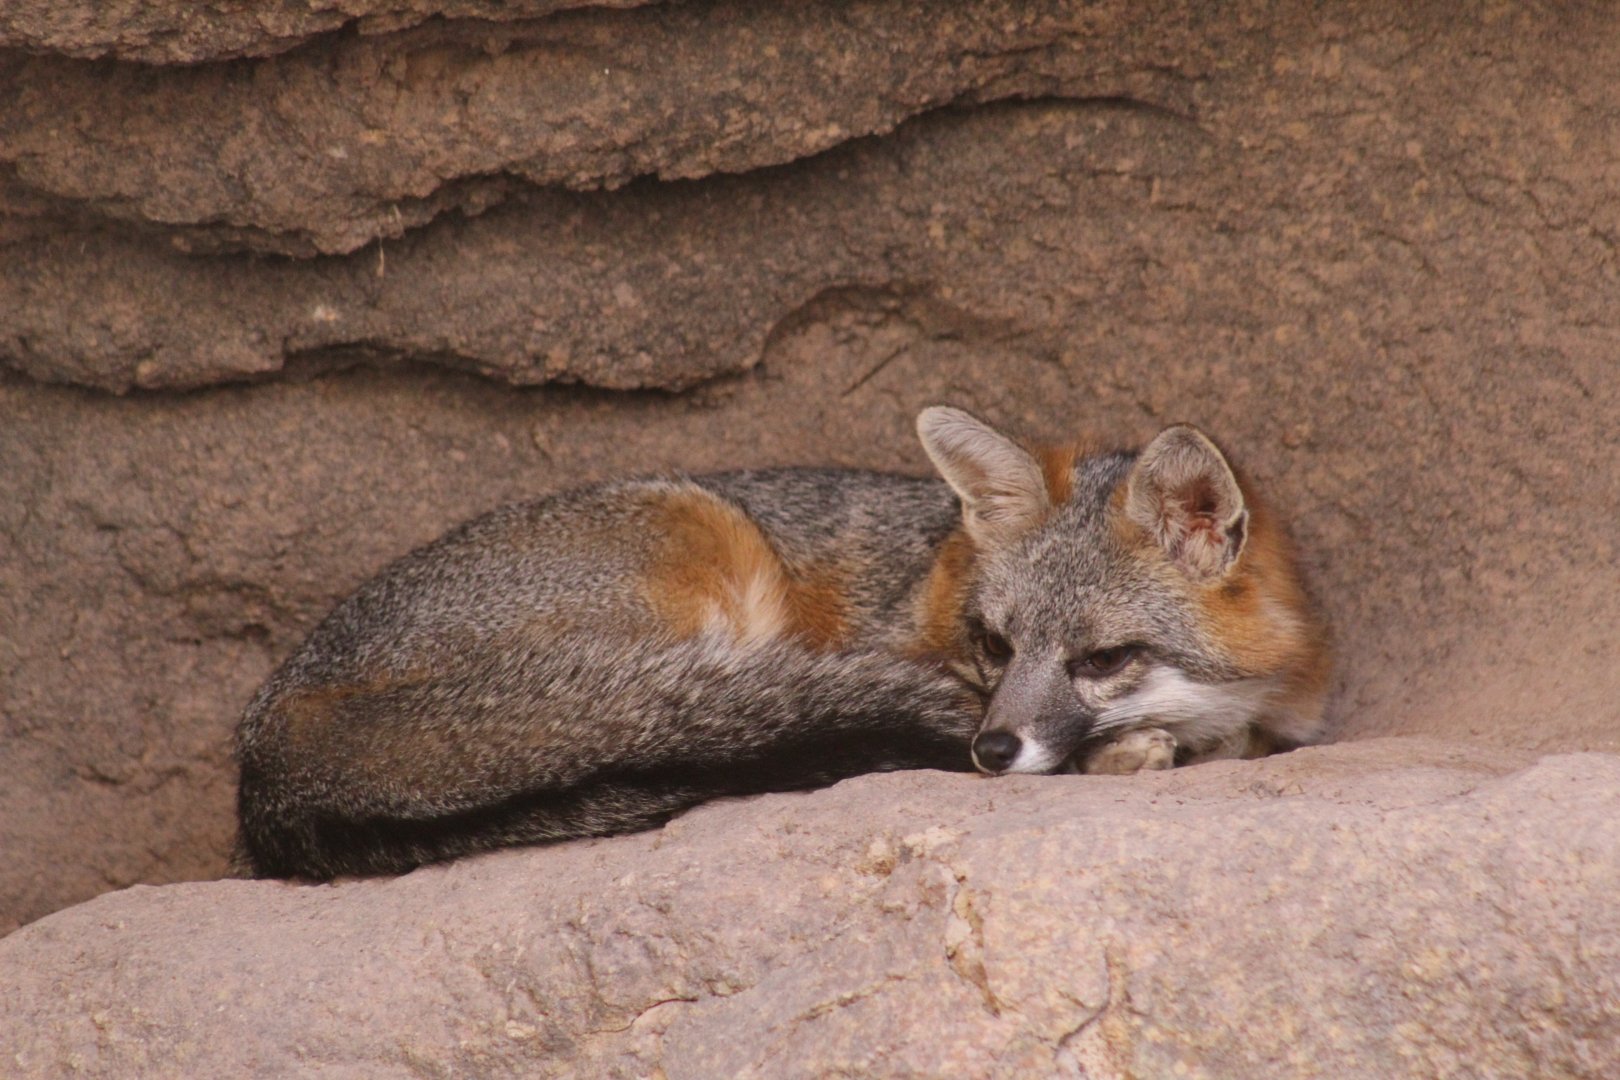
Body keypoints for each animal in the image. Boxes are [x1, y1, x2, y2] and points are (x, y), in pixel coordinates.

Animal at [235, 407, 1330, 879]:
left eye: (1101, 659)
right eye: (992, 644)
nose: (989, 748)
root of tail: (268, 738)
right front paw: (1127, 754)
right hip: (707, 558)